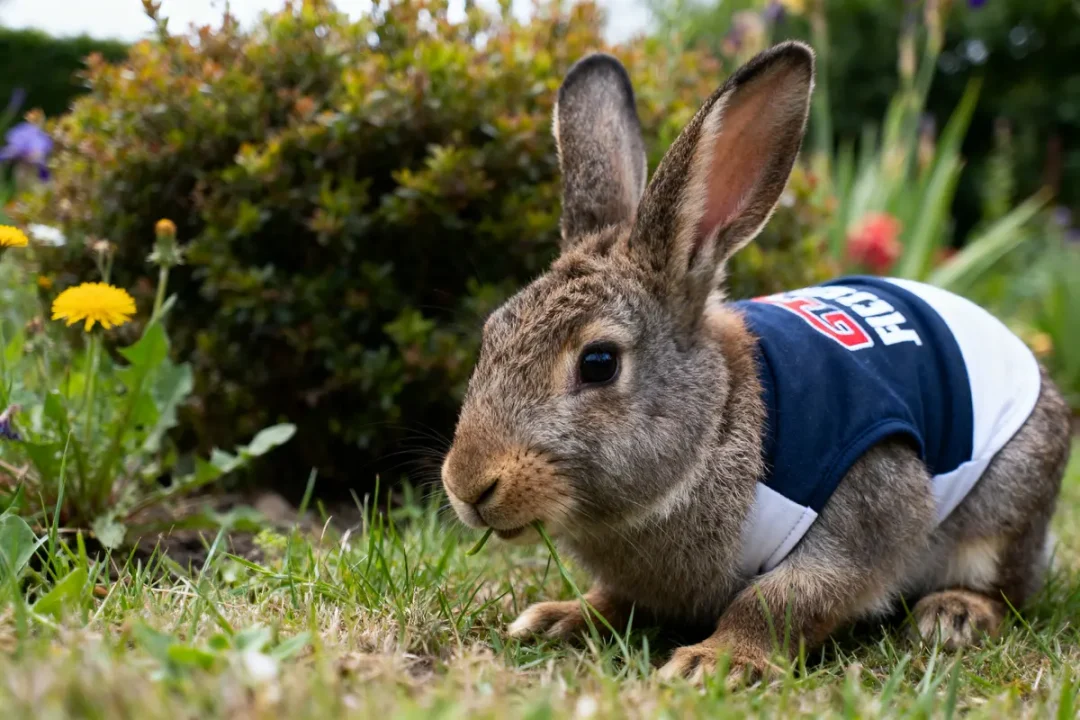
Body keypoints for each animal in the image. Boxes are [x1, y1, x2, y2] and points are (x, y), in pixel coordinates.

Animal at [440, 41, 1073, 685]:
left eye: (598, 362)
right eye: (491, 333)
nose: (467, 485)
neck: (716, 423)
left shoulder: (866, 504)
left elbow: (786, 596)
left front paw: (716, 662)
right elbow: (617, 597)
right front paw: (560, 617)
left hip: (1004, 505)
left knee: (1005, 585)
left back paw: (953, 614)